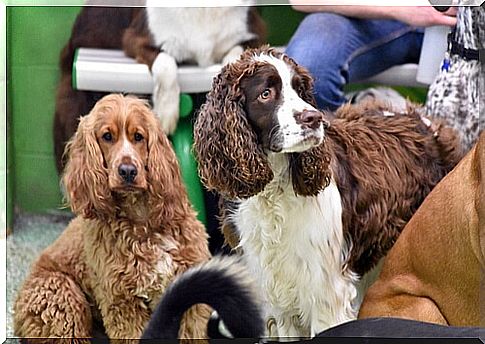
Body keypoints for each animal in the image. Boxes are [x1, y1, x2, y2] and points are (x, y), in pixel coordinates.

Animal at [14, 94, 210, 342]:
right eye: (107, 136)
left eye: (138, 137)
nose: (127, 171)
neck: (143, 221)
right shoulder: (123, 304)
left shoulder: (191, 299)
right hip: (62, 297)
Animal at [193, 46, 462, 338]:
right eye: (266, 93)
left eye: (300, 90)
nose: (313, 118)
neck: (275, 192)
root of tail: (421, 120)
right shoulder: (278, 293)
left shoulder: (324, 292)